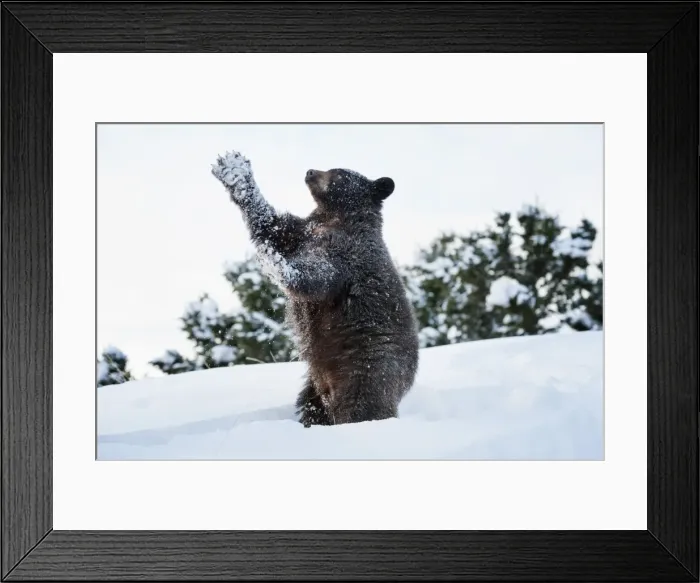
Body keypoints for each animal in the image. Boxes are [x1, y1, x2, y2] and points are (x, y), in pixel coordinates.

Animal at [211, 150, 419, 427]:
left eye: (339, 173)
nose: (310, 171)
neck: (333, 217)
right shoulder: (301, 232)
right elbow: (271, 224)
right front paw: (233, 170)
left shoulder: (345, 256)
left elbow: (314, 277)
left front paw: (274, 262)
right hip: (315, 384)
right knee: (312, 406)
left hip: (368, 368)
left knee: (360, 407)